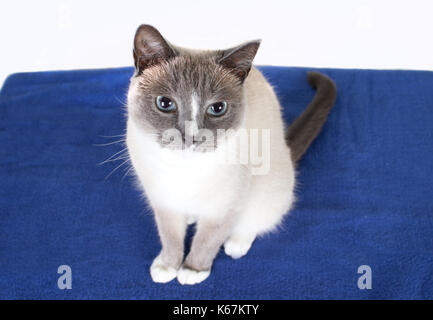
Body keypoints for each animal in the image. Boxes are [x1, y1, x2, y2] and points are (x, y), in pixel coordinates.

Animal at [125, 24, 338, 284]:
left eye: (217, 108)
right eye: (165, 103)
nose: (192, 137)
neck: (184, 170)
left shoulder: (225, 206)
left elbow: (207, 241)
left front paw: (192, 270)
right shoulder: (164, 200)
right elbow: (170, 237)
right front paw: (167, 266)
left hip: (268, 188)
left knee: (257, 219)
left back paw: (236, 245)